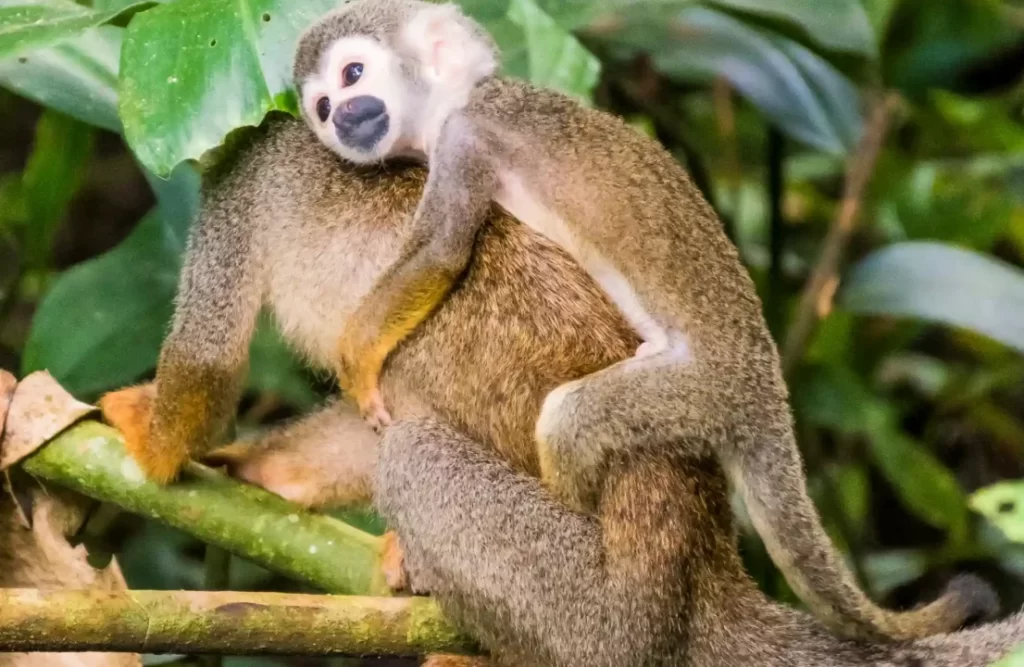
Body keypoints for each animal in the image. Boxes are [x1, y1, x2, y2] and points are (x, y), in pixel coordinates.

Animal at [99, 114, 1011, 667]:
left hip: (594, 609)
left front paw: (148, 441)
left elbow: (210, 363)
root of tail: (703, 577)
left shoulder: (237, 190)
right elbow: (368, 411)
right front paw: (264, 470)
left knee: (418, 456)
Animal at [292, 0, 995, 643]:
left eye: (353, 75)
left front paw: (357, 359)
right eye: (322, 106)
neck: (458, 101)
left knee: (572, 419)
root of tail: (765, 394)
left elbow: (441, 251)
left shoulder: (465, 136)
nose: (343, 118)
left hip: (694, 391)